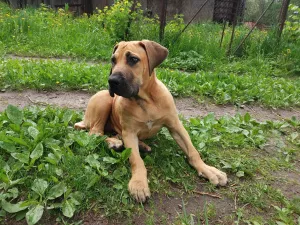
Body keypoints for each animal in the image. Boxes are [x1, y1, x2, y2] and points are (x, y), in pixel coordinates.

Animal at [75, 40, 227, 202]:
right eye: (113, 60)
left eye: (133, 59)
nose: (112, 80)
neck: (145, 101)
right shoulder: (129, 132)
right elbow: (136, 160)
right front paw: (138, 183)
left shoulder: (175, 126)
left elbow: (193, 151)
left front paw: (208, 170)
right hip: (104, 99)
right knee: (95, 133)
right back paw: (114, 143)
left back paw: (139, 145)